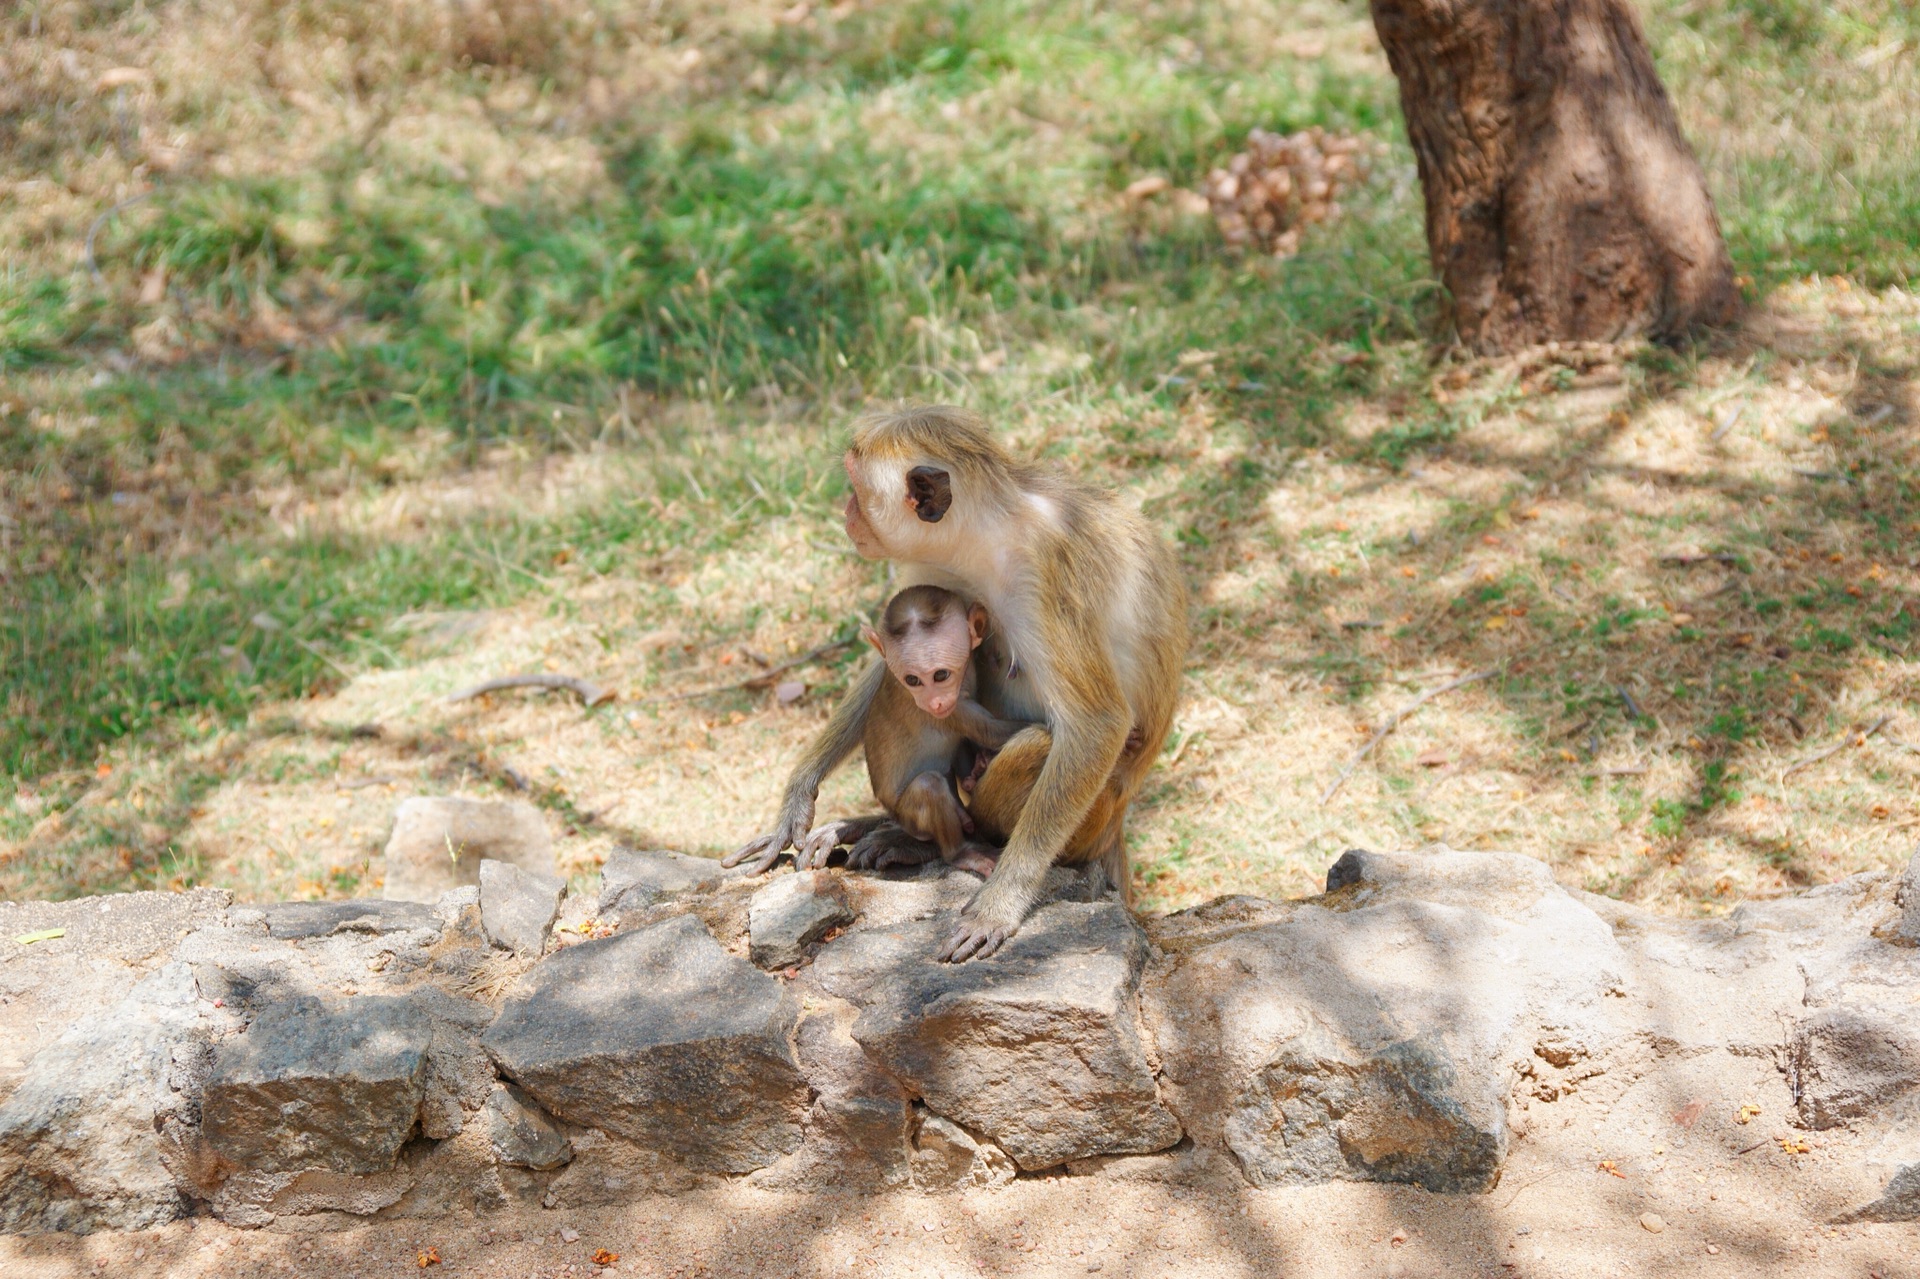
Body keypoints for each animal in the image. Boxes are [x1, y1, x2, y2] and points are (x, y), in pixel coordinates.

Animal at [798, 583, 1036, 871]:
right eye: (912, 679)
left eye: (941, 674)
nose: (933, 702)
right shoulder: (952, 710)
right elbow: (991, 733)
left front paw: (977, 767)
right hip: (909, 818)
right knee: (928, 786)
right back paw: (958, 852)